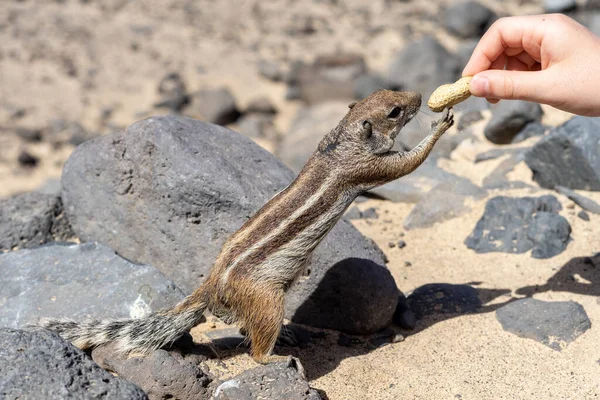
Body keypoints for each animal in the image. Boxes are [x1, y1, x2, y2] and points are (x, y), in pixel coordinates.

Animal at [34, 90, 454, 368]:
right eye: (395, 111)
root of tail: (209, 285)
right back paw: (275, 357)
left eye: (391, 92)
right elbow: (407, 164)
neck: (342, 139)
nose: (419, 95)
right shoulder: (369, 168)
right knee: (255, 349)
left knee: (242, 327)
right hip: (268, 300)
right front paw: (440, 124)